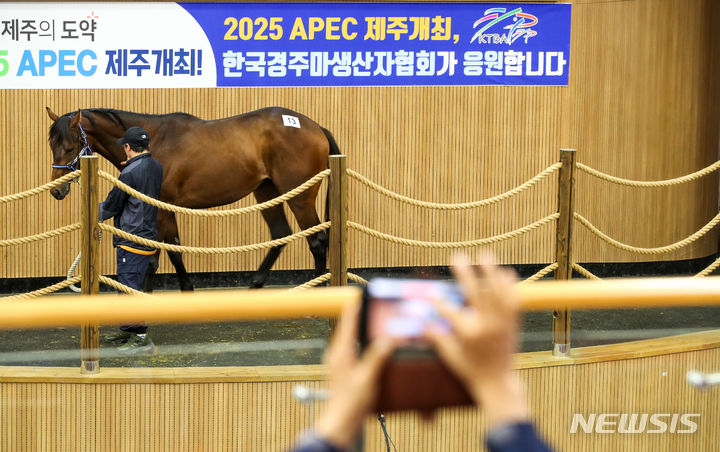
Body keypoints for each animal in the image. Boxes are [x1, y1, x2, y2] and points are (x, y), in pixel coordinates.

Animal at [47, 107, 340, 290]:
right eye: (52, 145)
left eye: (70, 147)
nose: (56, 191)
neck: (152, 142)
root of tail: (316, 127)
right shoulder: (165, 208)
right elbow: (172, 249)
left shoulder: (160, 208)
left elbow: (156, 255)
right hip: (267, 191)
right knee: (281, 233)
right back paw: (255, 284)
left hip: (300, 195)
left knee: (317, 240)